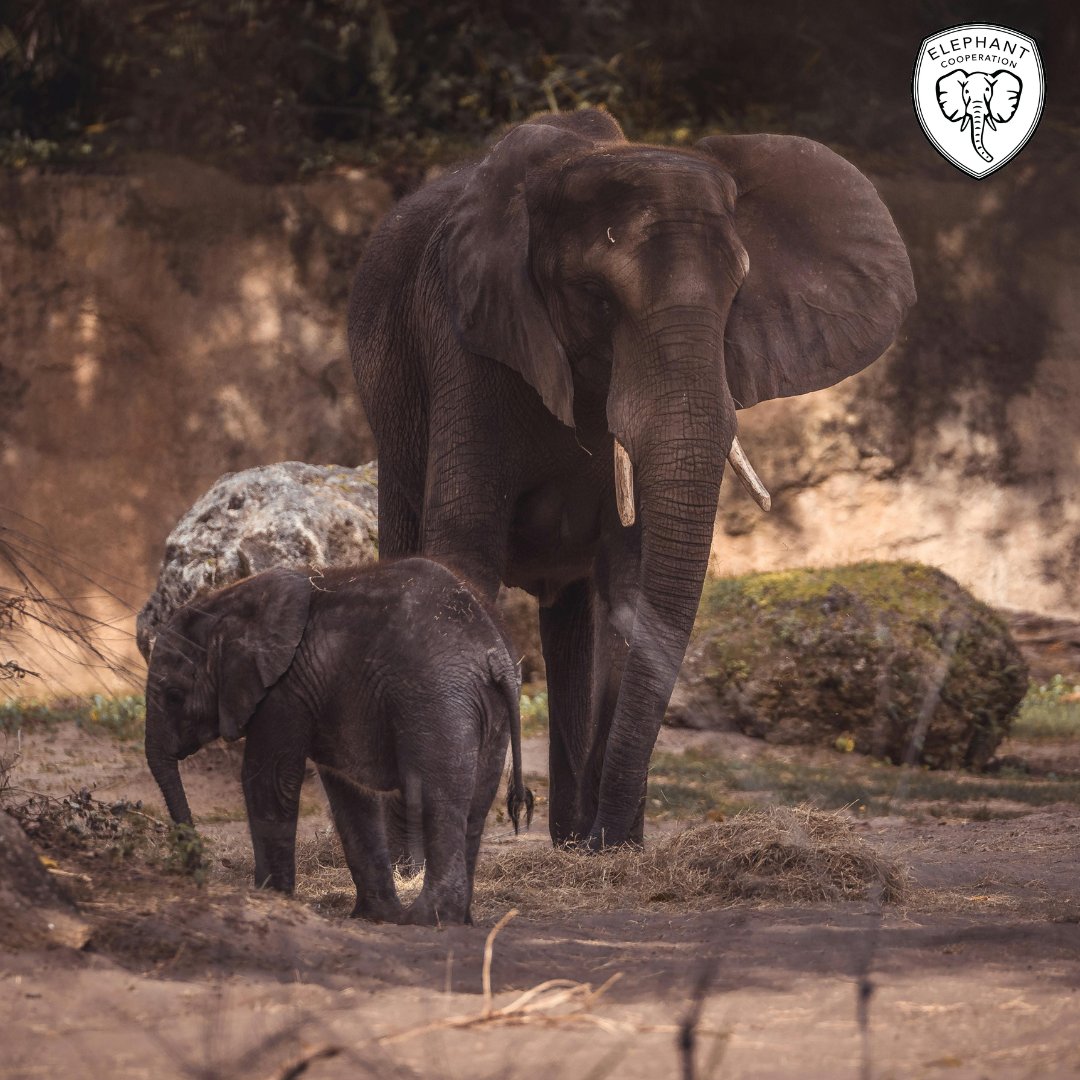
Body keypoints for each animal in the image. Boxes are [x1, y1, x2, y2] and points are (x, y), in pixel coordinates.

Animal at [144, 557, 533, 926]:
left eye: (174, 695)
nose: (198, 868)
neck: (229, 600)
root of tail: (496, 654)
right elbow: (348, 795)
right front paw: (374, 916)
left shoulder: (284, 689)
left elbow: (269, 781)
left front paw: (271, 899)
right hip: (487, 709)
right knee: (476, 806)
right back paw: (458, 919)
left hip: (436, 698)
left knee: (436, 799)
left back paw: (428, 919)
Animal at [348, 108, 915, 850]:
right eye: (595, 297)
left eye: (737, 295)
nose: (609, 837)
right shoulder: (465, 347)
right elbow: (463, 552)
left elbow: (634, 573)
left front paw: (610, 850)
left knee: (572, 619)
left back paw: (566, 839)